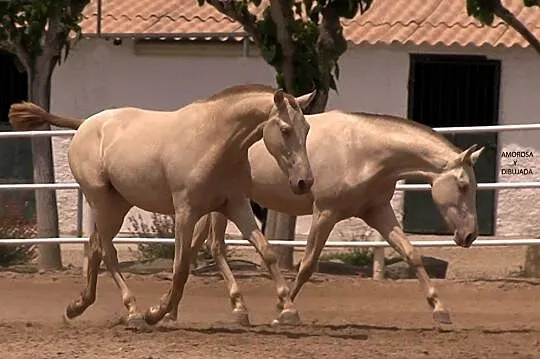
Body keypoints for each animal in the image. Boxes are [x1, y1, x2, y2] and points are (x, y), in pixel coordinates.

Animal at [8, 85, 316, 330]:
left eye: (307, 129)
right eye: (286, 130)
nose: (304, 181)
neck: (214, 140)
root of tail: (85, 124)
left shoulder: (235, 205)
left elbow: (267, 252)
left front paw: (288, 310)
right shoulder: (185, 211)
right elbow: (180, 267)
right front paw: (156, 313)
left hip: (118, 205)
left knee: (95, 247)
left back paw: (78, 306)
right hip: (100, 201)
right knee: (107, 251)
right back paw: (133, 312)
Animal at [190, 111, 486, 328]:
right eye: (463, 185)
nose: (470, 234)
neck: (362, 151)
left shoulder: (378, 211)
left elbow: (411, 254)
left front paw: (440, 309)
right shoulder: (325, 213)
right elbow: (307, 265)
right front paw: (283, 311)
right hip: (225, 205)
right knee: (216, 247)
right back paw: (238, 308)